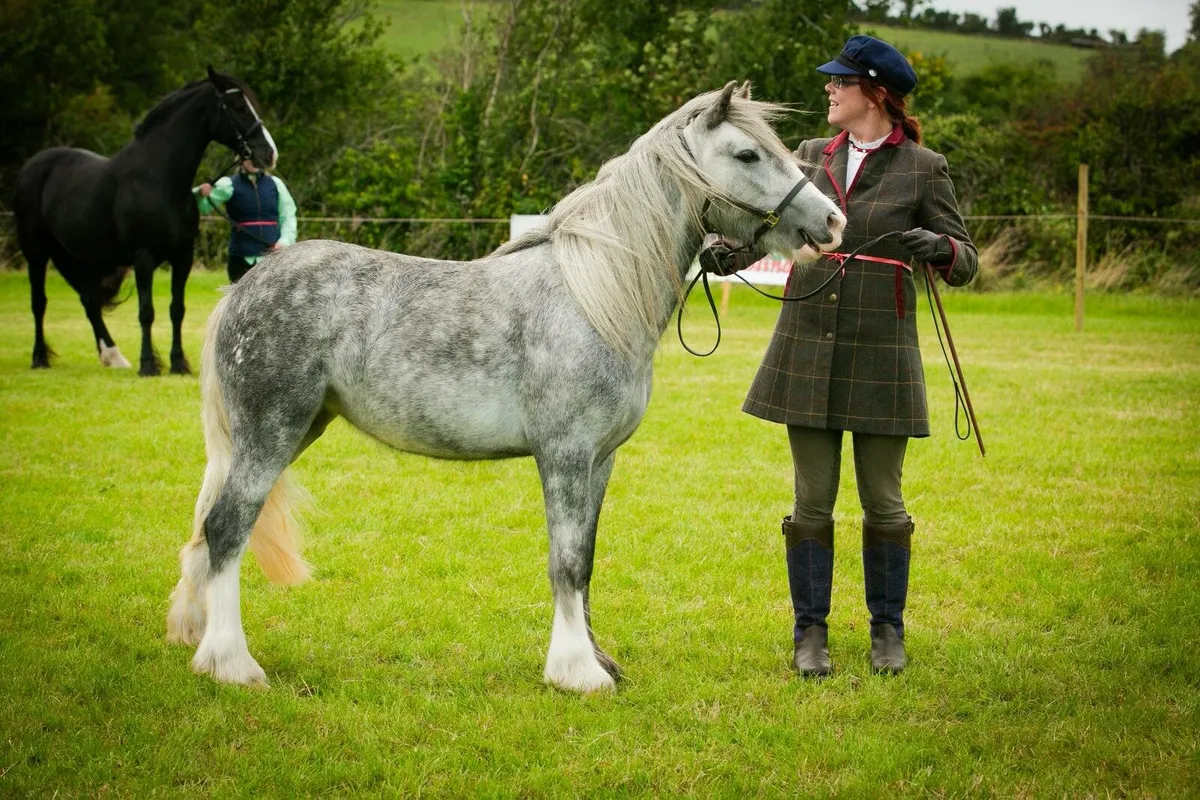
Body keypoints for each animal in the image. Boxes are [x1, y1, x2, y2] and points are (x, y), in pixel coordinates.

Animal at [13, 67, 278, 376]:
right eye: (237, 106)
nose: (269, 154)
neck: (159, 179)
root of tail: (33, 165)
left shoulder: (182, 256)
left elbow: (177, 309)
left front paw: (178, 363)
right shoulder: (143, 257)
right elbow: (146, 311)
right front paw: (148, 364)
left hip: (76, 256)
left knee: (90, 302)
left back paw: (114, 357)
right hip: (37, 253)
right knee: (39, 303)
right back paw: (40, 358)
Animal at [166, 81, 846, 693]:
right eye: (748, 154)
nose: (832, 220)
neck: (591, 293)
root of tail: (244, 287)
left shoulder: (600, 460)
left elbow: (586, 559)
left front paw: (597, 661)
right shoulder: (564, 455)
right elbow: (565, 562)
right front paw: (576, 673)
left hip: (298, 428)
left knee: (209, 533)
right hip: (270, 433)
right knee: (226, 529)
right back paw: (232, 664)